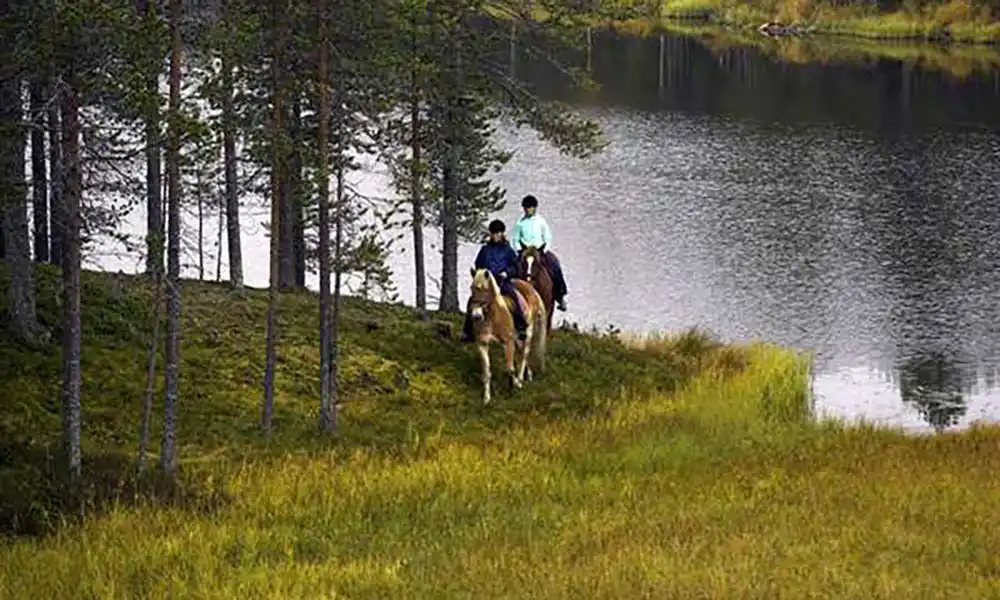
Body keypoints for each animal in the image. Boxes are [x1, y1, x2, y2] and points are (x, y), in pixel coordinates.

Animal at [466, 268, 548, 406]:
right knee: (520, 354)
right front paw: (486, 399)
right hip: (517, 339)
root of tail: (530, 288)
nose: (476, 316)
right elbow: (487, 373)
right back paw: (529, 375)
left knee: (524, 355)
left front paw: (514, 386)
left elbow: (509, 368)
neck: (493, 317)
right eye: (471, 288)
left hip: (527, 333)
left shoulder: (507, 342)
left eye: (485, 290)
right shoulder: (482, 344)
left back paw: (520, 380)